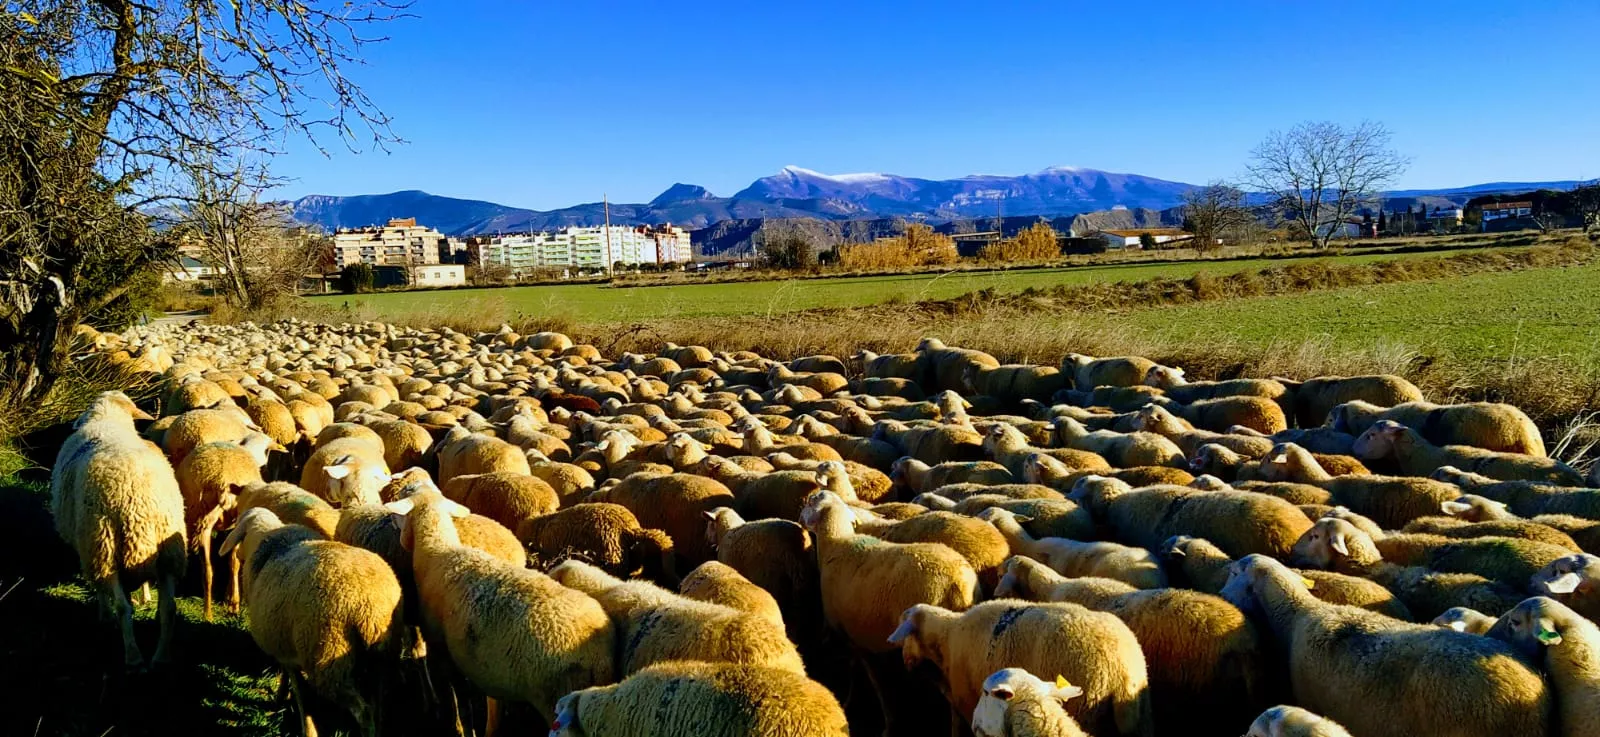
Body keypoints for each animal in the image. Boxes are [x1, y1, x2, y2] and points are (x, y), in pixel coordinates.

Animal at [217, 508, 403, 735]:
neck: (264, 538)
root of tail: (371, 607)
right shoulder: (286, 644)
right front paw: (281, 696)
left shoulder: (288, 652)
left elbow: (302, 697)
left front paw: (306, 726)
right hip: (382, 659)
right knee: (379, 706)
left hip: (328, 657)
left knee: (364, 712)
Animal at [385, 492, 615, 728]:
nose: (390, 520)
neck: (436, 550)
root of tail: (597, 653)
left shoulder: (444, 657)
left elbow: (460, 706)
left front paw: (460, 727)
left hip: (555, 694)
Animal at [888, 600, 1153, 737]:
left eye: (905, 633)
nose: (904, 662)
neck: (947, 637)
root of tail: (1124, 671)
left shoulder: (967, 701)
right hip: (1141, 718)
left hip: (1087, 709)